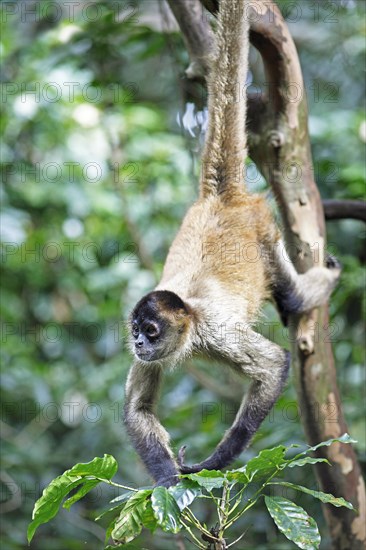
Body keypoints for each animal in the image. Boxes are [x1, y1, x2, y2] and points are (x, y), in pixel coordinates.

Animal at [123, 0, 340, 490]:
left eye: (151, 330)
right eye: (135, 330)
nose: (138, 343)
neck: (189, 319)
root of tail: (221, 198)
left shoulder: (215, 332)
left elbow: (274, 364)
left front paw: (210, 465)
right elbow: (138, 410)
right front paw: (169, 485)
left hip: (264, 230)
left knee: (292, 297)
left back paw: (324, 279)